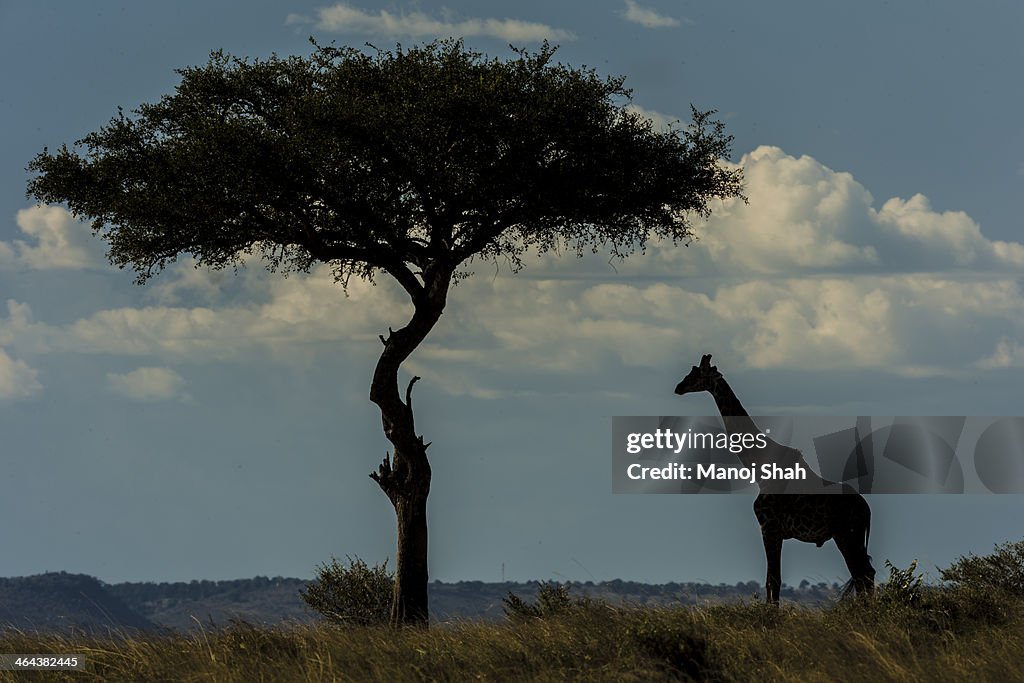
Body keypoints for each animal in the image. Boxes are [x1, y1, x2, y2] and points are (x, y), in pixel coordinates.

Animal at [675, 356, 876, 602]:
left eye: (696, 373)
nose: (679, 387)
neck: (759, 468)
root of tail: (866, 510)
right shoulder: (774, 531)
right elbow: (773, 581)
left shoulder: (768, 527)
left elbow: (773, 581)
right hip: (853, 537)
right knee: (865, 573)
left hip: (845, 535)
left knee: (861, 573)